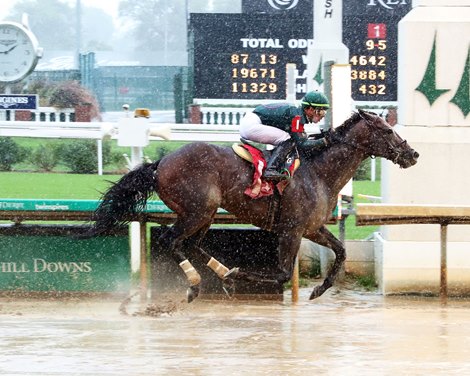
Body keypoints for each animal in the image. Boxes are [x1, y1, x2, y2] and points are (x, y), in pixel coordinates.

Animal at [87, 109, 418, 302]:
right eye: (388, 130)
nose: (412, 154)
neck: (319, 173)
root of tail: (160, 164)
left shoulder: (311, 228)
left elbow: (341, 251)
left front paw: (319, 289)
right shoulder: (291, 230)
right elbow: (282, 273)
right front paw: (240, 275)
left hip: (205, 213)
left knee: (191, 244)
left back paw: (221, 275)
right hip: (196, 210)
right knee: (171, 240)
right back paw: (196, 283)